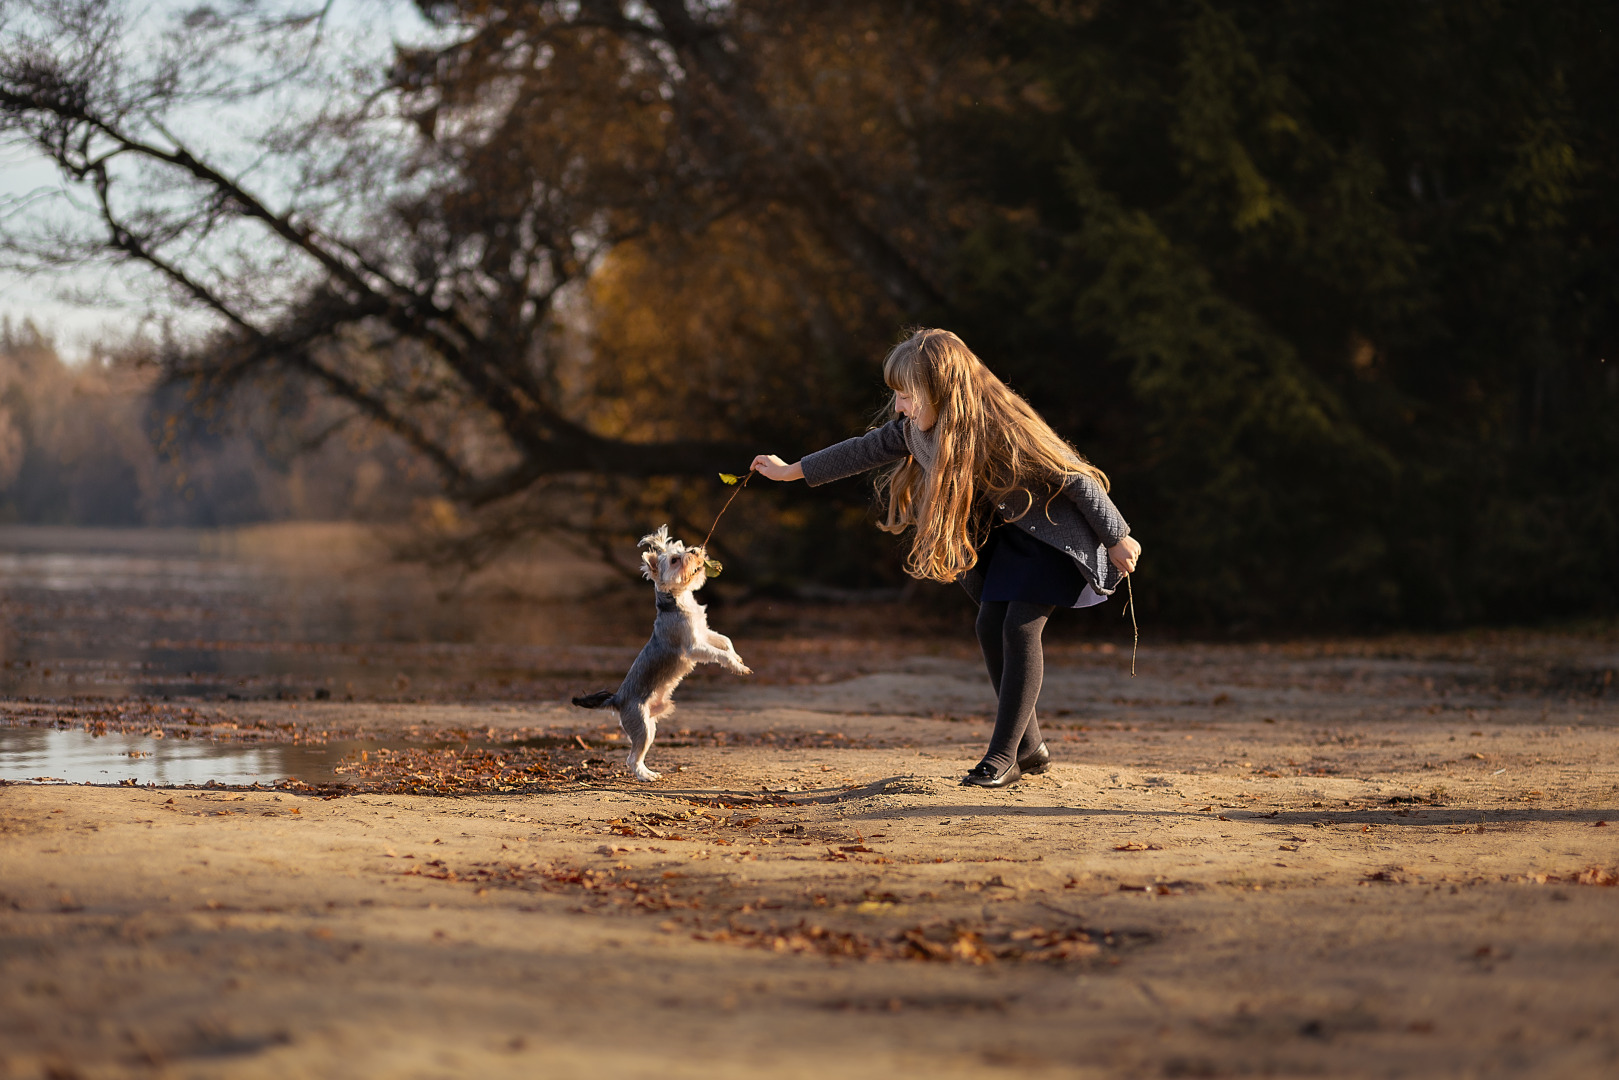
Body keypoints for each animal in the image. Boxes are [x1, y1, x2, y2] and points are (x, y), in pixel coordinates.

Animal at [573, 524, 747, 777]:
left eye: (683, 549)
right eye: (675, 560)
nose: (695, 550)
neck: (678, 599)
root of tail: (617, 699)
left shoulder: (704, 632)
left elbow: (726, 641)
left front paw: (738, 659)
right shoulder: (693, 647)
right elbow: (718, 653)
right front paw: (735, 666)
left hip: (651, 725)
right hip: (642, 725)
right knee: (632, 759)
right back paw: (646, 776)